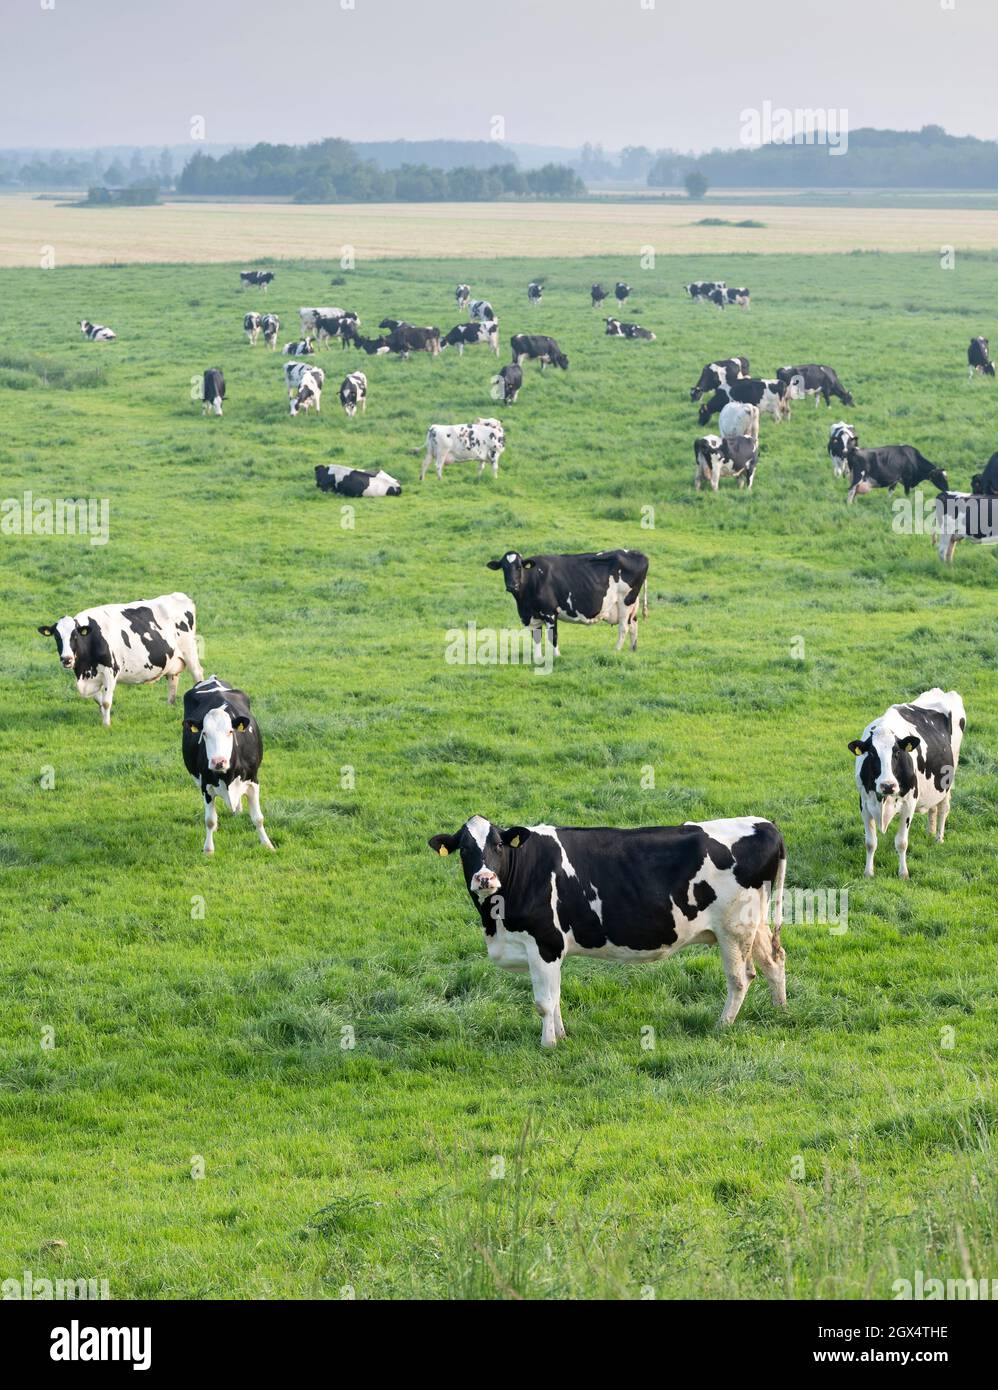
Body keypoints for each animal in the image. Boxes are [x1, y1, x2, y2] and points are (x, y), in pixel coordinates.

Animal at [38, 592, 203, 727]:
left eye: (75, 636)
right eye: (57, 637)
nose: (66, 659)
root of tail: (180, 595)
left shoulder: (111, 671)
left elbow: (106, 702)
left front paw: (106, 725)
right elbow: (98, 700)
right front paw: (104, 717)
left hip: (190, 651)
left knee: (198, 674)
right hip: (172, 660)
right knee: (173, 680)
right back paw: (169, 706)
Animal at [182, 675, 274, 855]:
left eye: (230, 731)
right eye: (204, 733)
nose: (218, 761)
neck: (227, 776)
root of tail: (213, 678)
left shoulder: (253, 781)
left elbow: (258, 818)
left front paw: (267, 844)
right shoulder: (205, 786)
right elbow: (210, 820)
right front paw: (208, 849)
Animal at [428, 813, 787, 1045]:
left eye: (499, 845)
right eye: (465, 848)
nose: (484, 878)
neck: (496, 922)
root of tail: (763, 823)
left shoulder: (545, 943)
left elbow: (545, 1002)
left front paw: (548, 1045)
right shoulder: (548, 950)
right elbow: (556, 998)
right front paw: (562, 1036)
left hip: (733, 928)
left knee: (741, 978)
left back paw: (722, 1026)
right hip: (754, 923)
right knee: (774, 960)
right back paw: (780, 1012)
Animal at [486, 549, 649, 656]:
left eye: (519, 567)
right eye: (504, 568)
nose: (512, 585)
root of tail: (637, 552)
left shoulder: (549, 612)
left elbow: (553, 635)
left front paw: (556, 656)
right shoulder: (531, 615)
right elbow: (536, 637)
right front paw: (538, 658)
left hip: (625, 601)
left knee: (623, 627)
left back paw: (616, 650)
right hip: (632, 605)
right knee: (633, 625)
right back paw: (632, 650)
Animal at [848, 689, 966, 879]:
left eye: (897, 752)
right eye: (872, 753)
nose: (888, 785)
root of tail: (940, 691)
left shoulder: (909, 803)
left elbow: (902, 842)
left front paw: (903, 873)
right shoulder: (864, 804)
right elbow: (870, 842)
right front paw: (868, 872)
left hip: (948, 777)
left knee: (943, 808)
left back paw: (938, 838)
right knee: (933, 808)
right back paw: (930, 832)